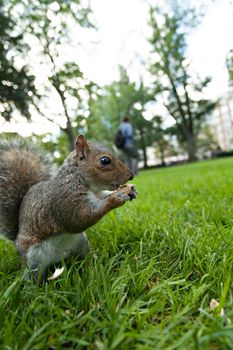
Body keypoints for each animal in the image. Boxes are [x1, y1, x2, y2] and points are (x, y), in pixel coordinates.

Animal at [0, 135, 137, 274]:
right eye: (105, 160)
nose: (131, 176)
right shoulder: (64, 198)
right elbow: (79, 218)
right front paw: (116, 198)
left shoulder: (97, 195)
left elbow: (103, 197)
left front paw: (130, 190)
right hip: (33, 258)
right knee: (34, 273)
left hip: (81, 244)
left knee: (84, 258)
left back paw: (92, 266)